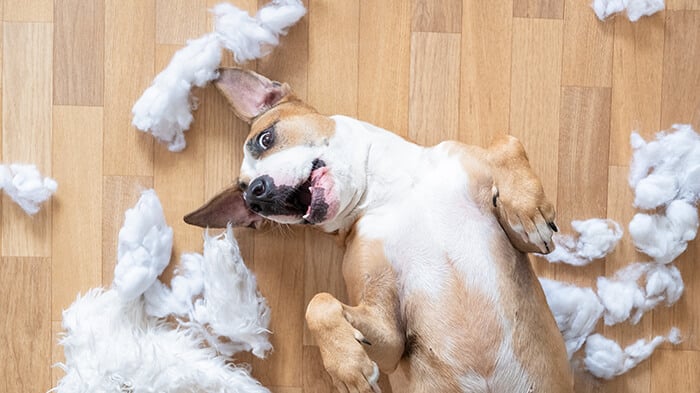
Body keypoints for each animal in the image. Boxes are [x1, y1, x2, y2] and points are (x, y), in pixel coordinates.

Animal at [186, 68, 576, 392]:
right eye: (249, 202)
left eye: (265, 139)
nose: (256, 195)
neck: (396, 190)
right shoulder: (391, 337)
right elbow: (319, 303)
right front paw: (348, 367)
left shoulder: (522, 242)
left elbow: (505, 140)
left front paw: (527, 208)